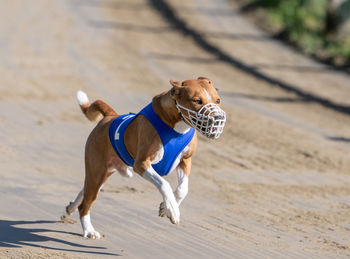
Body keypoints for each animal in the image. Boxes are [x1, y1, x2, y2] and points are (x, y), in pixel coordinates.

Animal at [61, 76, 226, 240]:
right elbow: (164, 184)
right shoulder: (141, 164)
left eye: (218, 100)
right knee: (85, 204)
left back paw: (70, 209)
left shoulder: (186, 160)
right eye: (197, 101)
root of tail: (110, 116)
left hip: (102, 174)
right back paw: (89, 230)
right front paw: (172, 208)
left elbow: (182, 189)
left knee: (84, 190)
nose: (218, 117)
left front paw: (165, 207)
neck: (176, 127)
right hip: (98, 171)